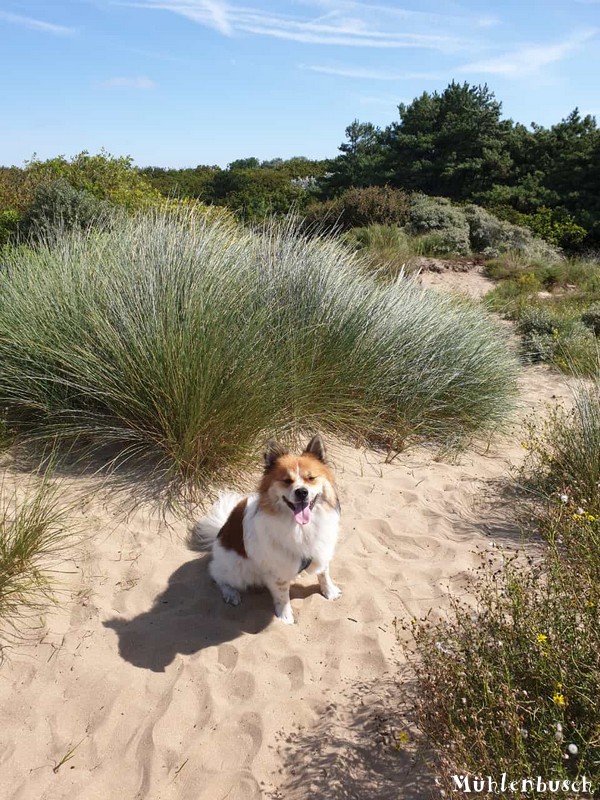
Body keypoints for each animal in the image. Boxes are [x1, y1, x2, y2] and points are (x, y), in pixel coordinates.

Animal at [195, 432, 340, 624]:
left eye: (311, 478)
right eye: (287, 481)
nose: (302, 492)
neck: (300, 528)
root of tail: (220, 532)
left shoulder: (320, 549)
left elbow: (324, 572)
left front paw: (329, 591)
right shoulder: (277, 570)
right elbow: (282, 595)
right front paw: (285, 616)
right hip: (237, 569)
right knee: (217, 575)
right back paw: (230, 593)